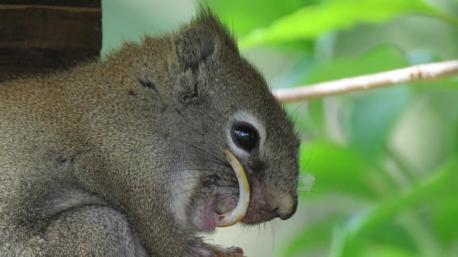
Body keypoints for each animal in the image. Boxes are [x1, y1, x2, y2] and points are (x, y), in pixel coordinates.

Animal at [0, 10, 300, 256]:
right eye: (245, 136)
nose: (286, 207)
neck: (150, 114)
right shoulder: (133, 172)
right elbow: (167, 243)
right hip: (97, 229)